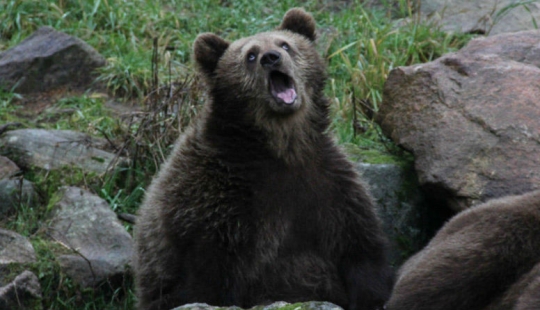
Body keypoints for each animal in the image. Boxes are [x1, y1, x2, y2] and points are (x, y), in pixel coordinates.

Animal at [132, 7, 390, 310]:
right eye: (251, 55)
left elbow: (360, 249)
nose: (271, 58)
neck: (280, 146)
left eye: (285, 44)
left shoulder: (328, 185)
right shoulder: (218, 202)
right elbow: (208, 280)